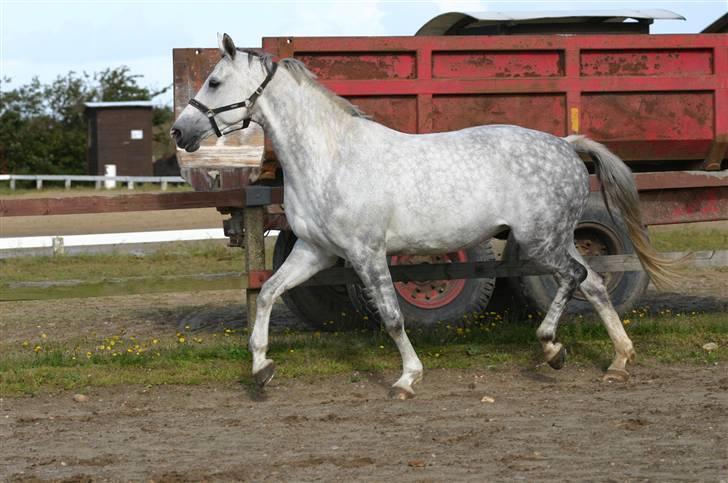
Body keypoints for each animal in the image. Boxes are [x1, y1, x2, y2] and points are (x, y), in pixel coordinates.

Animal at [173, 33, 680, 398]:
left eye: (214, 82)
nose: (180, 131)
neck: (331, 156)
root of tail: (567, 145)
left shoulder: (367, 252)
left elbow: (392, 317)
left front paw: (406, 379)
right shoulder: (316, 251)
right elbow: (267, 294)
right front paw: (262, 369)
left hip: (542, 241)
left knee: (576, 278)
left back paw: (553, 347)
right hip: (556, 238)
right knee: (593, 283)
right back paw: (616, 362)